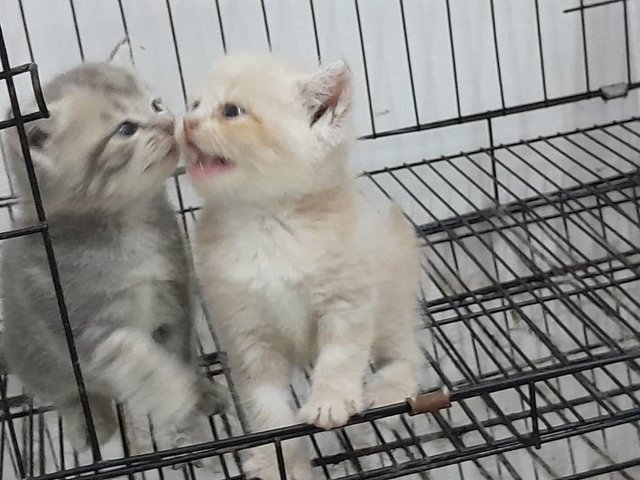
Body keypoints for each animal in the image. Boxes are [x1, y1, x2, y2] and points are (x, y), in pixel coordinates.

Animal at [1, 60, 226, 450]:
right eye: (125, 130)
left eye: (155, 105)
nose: (169, 122)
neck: (129, 226)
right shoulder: (79, 325)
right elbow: (124, 352)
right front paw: (169, 391)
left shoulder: (175, 294)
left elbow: (180, 351)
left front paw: (196, 391)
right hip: (35, 355)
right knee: (67, 392)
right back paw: (90, 422)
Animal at [178, 53, 422, 480]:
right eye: (194, 104)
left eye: (231, 111)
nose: (186, 122)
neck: (266, 224)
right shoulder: (244, 330)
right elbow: (266, 410)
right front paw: (279, 461)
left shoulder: (348, 302)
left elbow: (341, 356)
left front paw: (330, 401)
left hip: (391, 302)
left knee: (408, 354)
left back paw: (387, 390)